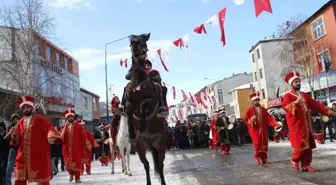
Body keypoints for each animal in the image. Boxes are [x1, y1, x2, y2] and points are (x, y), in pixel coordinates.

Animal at [122, 33, 166, 185]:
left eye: (143, 42)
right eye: (131, 42)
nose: (135, 45)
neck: (138, 83)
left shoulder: (151, 101)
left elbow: (144, 104)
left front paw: (142, 125)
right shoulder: (128, 103)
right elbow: (129, 109)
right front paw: (131, 131)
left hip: (160, 144)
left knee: (160, 165)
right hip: (141, 147)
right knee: (146, 165)